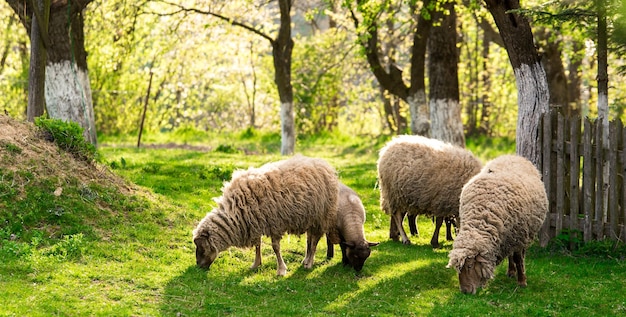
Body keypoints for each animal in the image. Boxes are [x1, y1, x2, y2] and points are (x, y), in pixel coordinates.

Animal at [191, 154, 338, 276]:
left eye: (201, 247)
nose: (198, 266)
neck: (236, 211)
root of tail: (325, 164)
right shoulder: (255, 222)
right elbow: (258, 244)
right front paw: (256, 264)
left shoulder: (274, 224)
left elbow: (275, 248)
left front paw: (281, 270)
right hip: (310, 218)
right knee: (309, 239)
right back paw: (306, 259)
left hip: (321, 216)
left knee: (315, 241)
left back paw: (309, 263)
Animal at [444, 154, 544, 292]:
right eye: (458, 269)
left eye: (469, 266)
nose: (465, 291)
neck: (482, 217)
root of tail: (511, 156)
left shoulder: (519, 236)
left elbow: (519, 259)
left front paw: (522, 282)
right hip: (508, 237)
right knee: (510, 254)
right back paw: (511, 272)